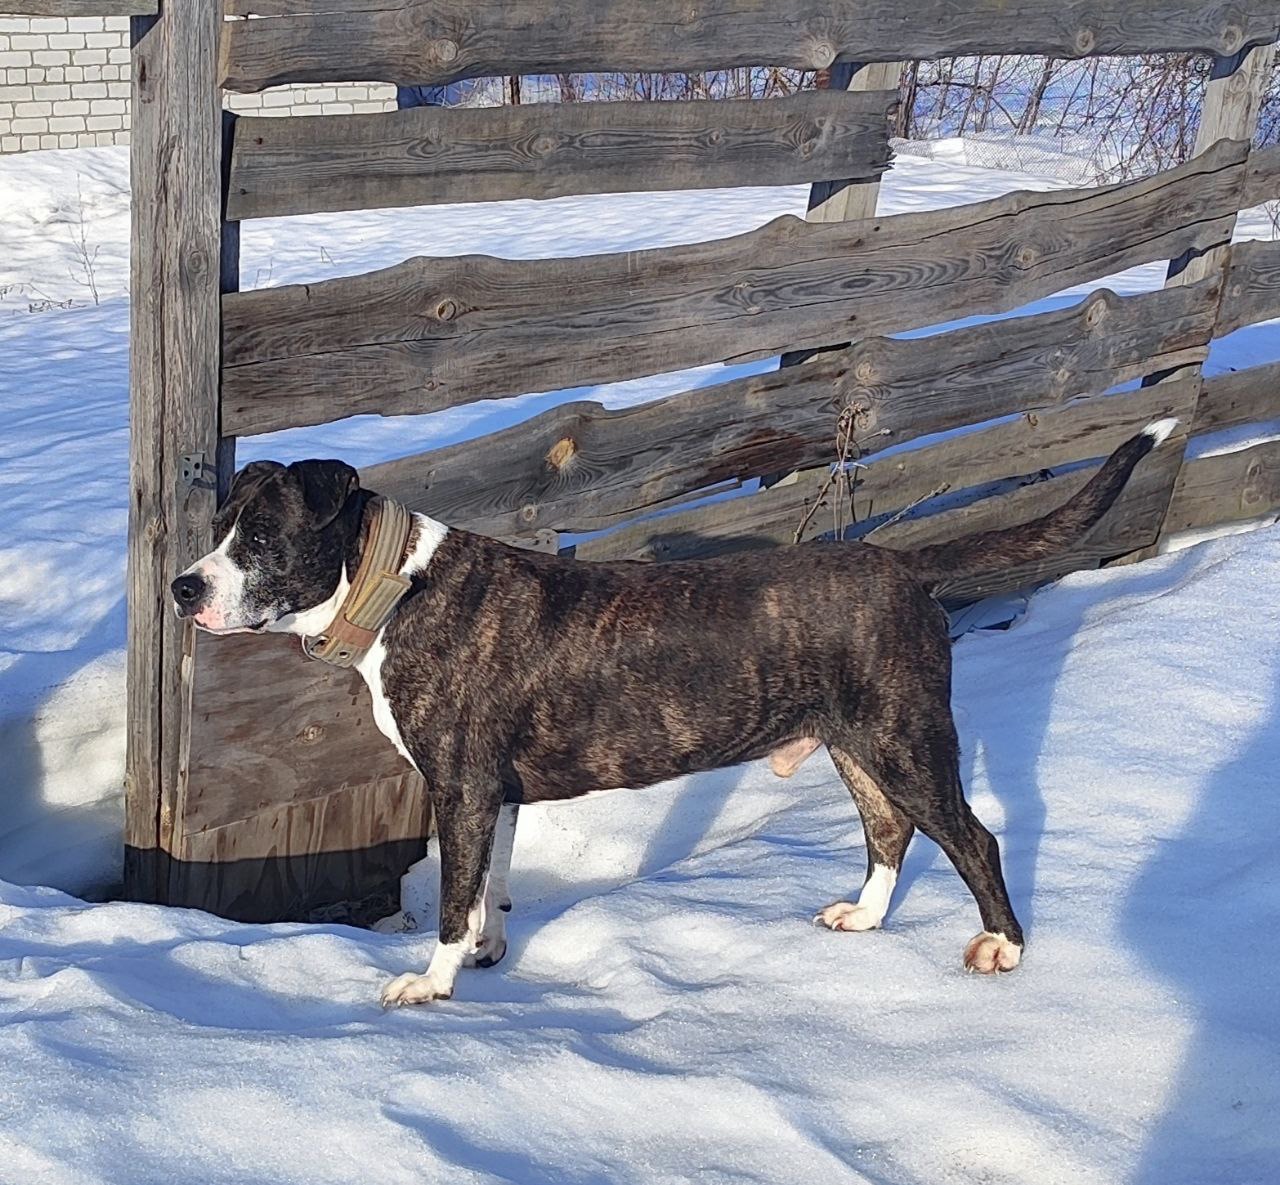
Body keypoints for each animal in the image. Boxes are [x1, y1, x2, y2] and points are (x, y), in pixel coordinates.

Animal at [172, 419, 1178, 1006]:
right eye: (219, 528)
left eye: (261, 539)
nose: (183, 588)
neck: (393, 587)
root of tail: (903, 564)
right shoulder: (495, 792)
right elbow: (492, 880)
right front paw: (493, 950)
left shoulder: (458, 785)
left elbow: (456, 896)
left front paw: (431, 982)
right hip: (858, 741)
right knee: (889, 831)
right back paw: (864, 917)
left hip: (905, 736)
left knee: (973, 836)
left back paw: (1003, 947)